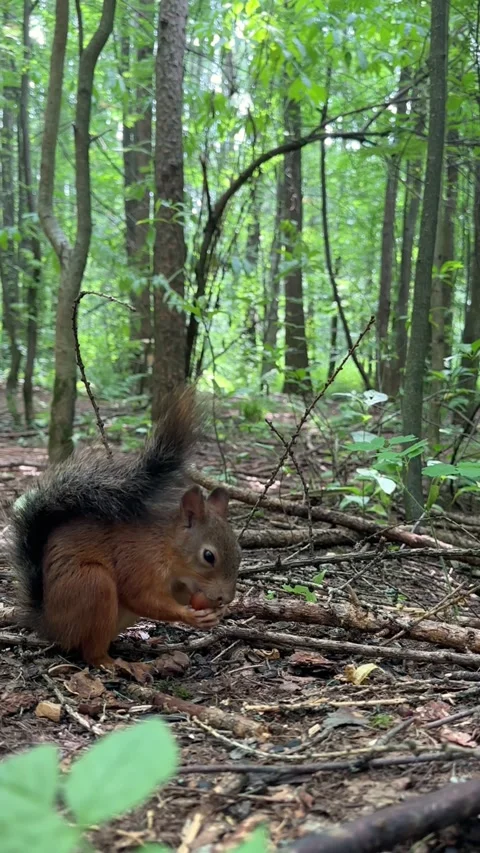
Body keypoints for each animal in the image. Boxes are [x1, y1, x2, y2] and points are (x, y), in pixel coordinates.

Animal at [10, 387, 241, 680]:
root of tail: (49, 625)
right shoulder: (138, 561)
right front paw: (189, 615)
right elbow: (140, 596)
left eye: (240, 552)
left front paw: (217, 612)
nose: (227, 597)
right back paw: (115, 663)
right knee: (91, 652)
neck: (168, 546)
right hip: (92, 586)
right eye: (208, 556)